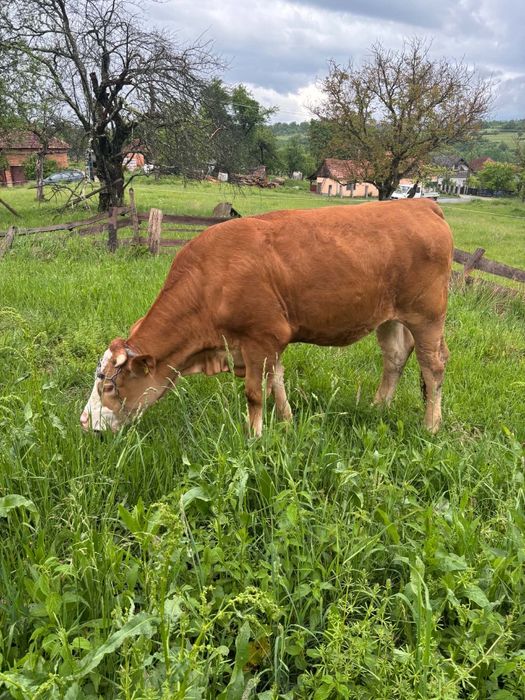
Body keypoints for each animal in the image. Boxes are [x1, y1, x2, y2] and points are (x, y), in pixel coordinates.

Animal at [81, 199, 453, 436]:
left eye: (109, 385)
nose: (84, 423)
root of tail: (421, 205)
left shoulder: (259, 337)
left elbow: (255, 393)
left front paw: (255, 437)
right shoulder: (268, 342)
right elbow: (277, 381)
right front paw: (287, 422)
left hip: (427, 315)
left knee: (433, 367)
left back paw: (431, 426)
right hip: (390, 316)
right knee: (395, 356)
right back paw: (378, 407)